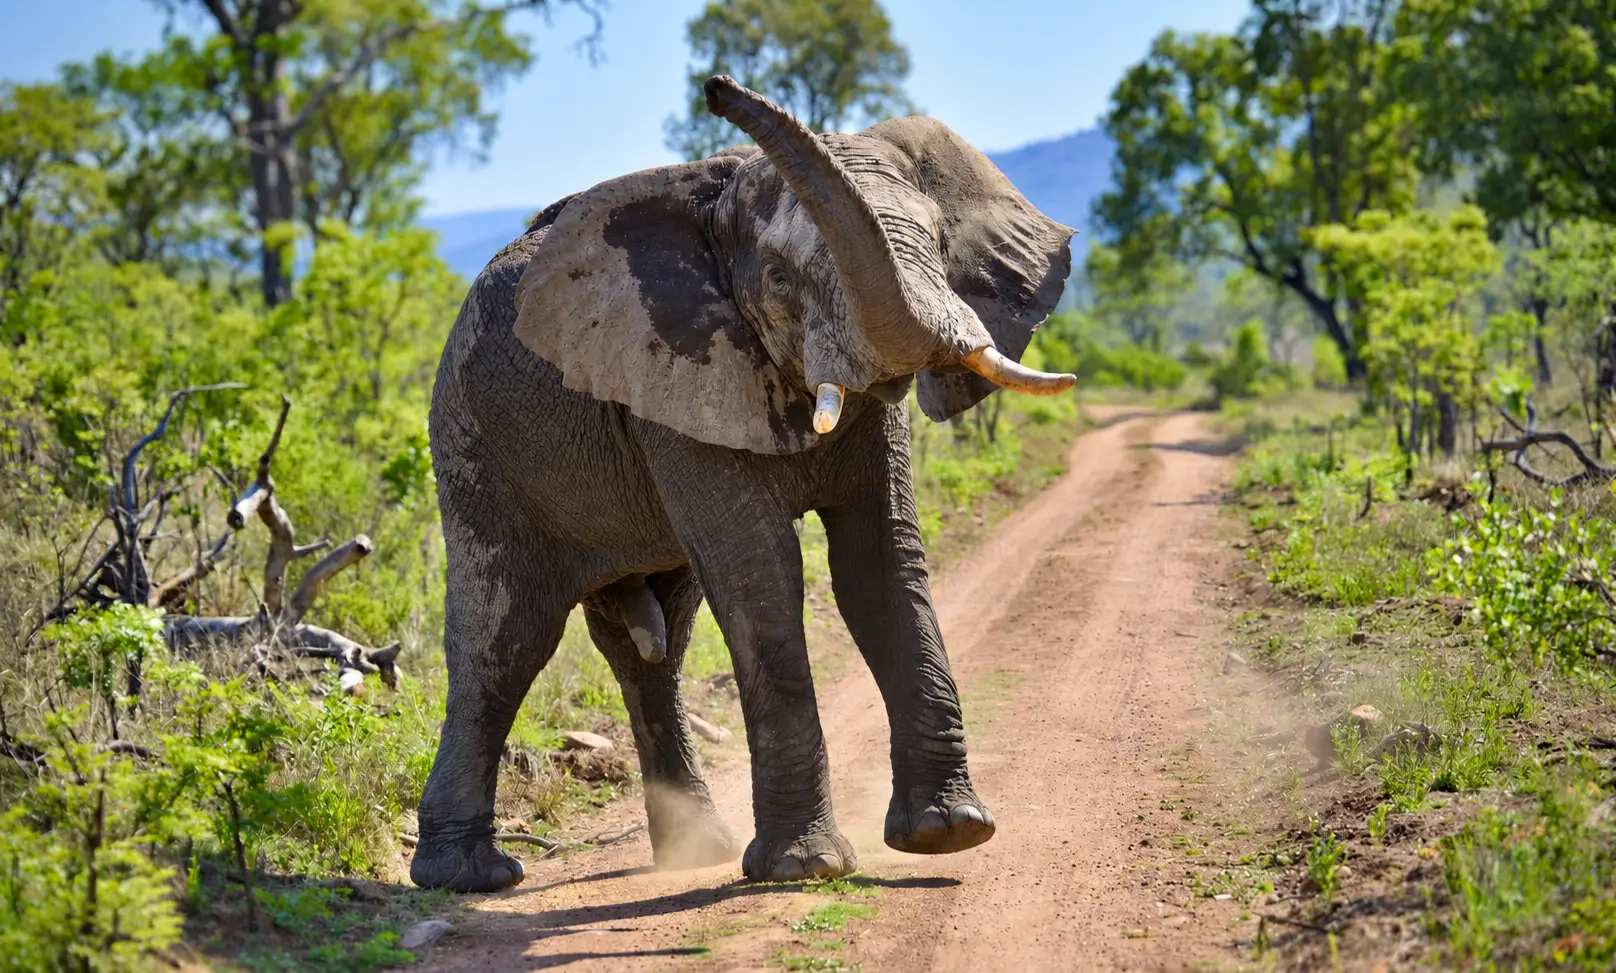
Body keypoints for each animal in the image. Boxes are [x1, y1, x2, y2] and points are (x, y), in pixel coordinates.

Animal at [409, 75, 1077, 893]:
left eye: (940, 247)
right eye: (782, 279)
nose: (716, 87)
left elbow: (878, 564)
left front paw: (949, 832)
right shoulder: (670, 366)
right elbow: (760, 575)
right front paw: (804, 867)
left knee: (655, 644)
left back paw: (700, 850)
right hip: (475, 442)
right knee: (506, 641)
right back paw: (470, 876)